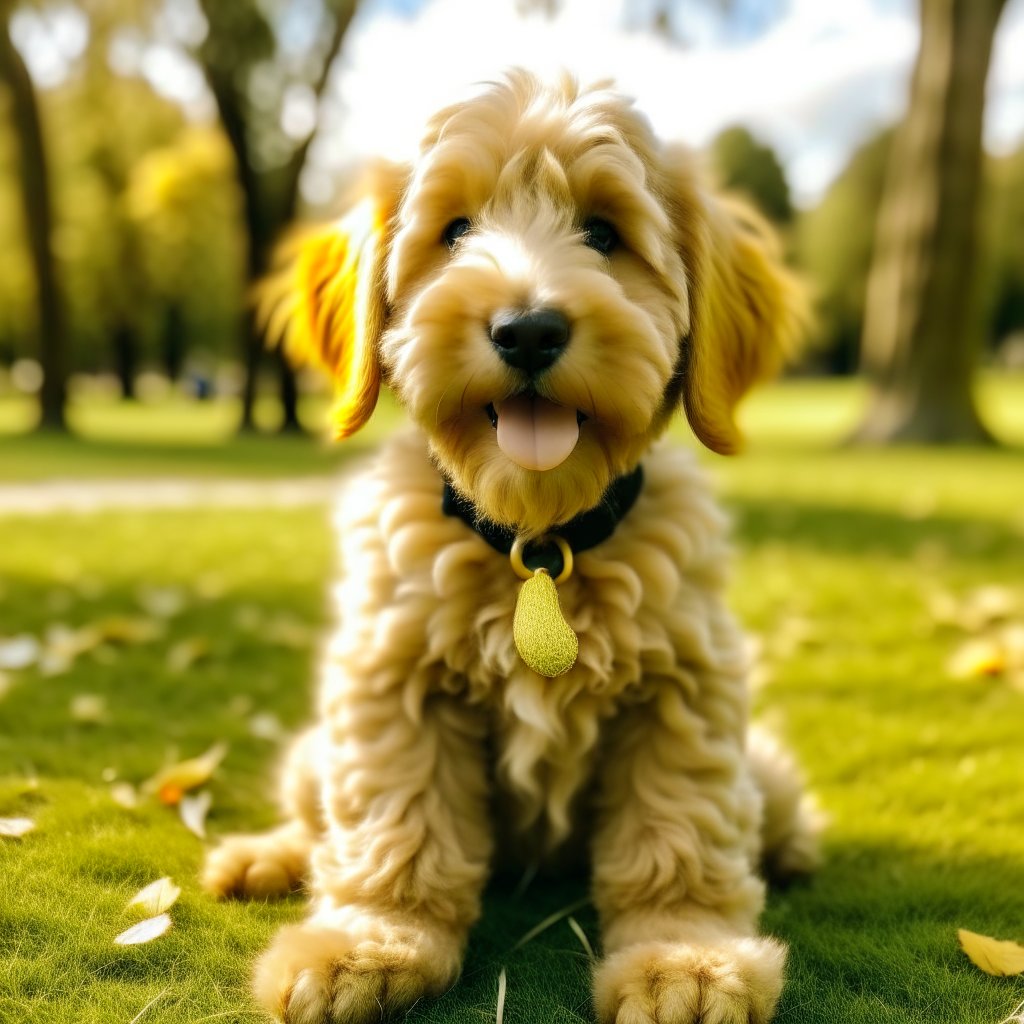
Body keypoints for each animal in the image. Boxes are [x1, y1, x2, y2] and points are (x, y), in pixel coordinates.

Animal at [205, 72, 815, 1024]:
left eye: (604, 232)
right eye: (454, 230)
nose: (528, 329)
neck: (538, 540)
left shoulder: (685, 689)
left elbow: (678, 831)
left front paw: (684, 957)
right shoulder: (392, 680)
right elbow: (396, 823)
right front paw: (371, 942)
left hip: (771, 773)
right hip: (312, 753)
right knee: (317, 820)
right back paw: (263, 856)